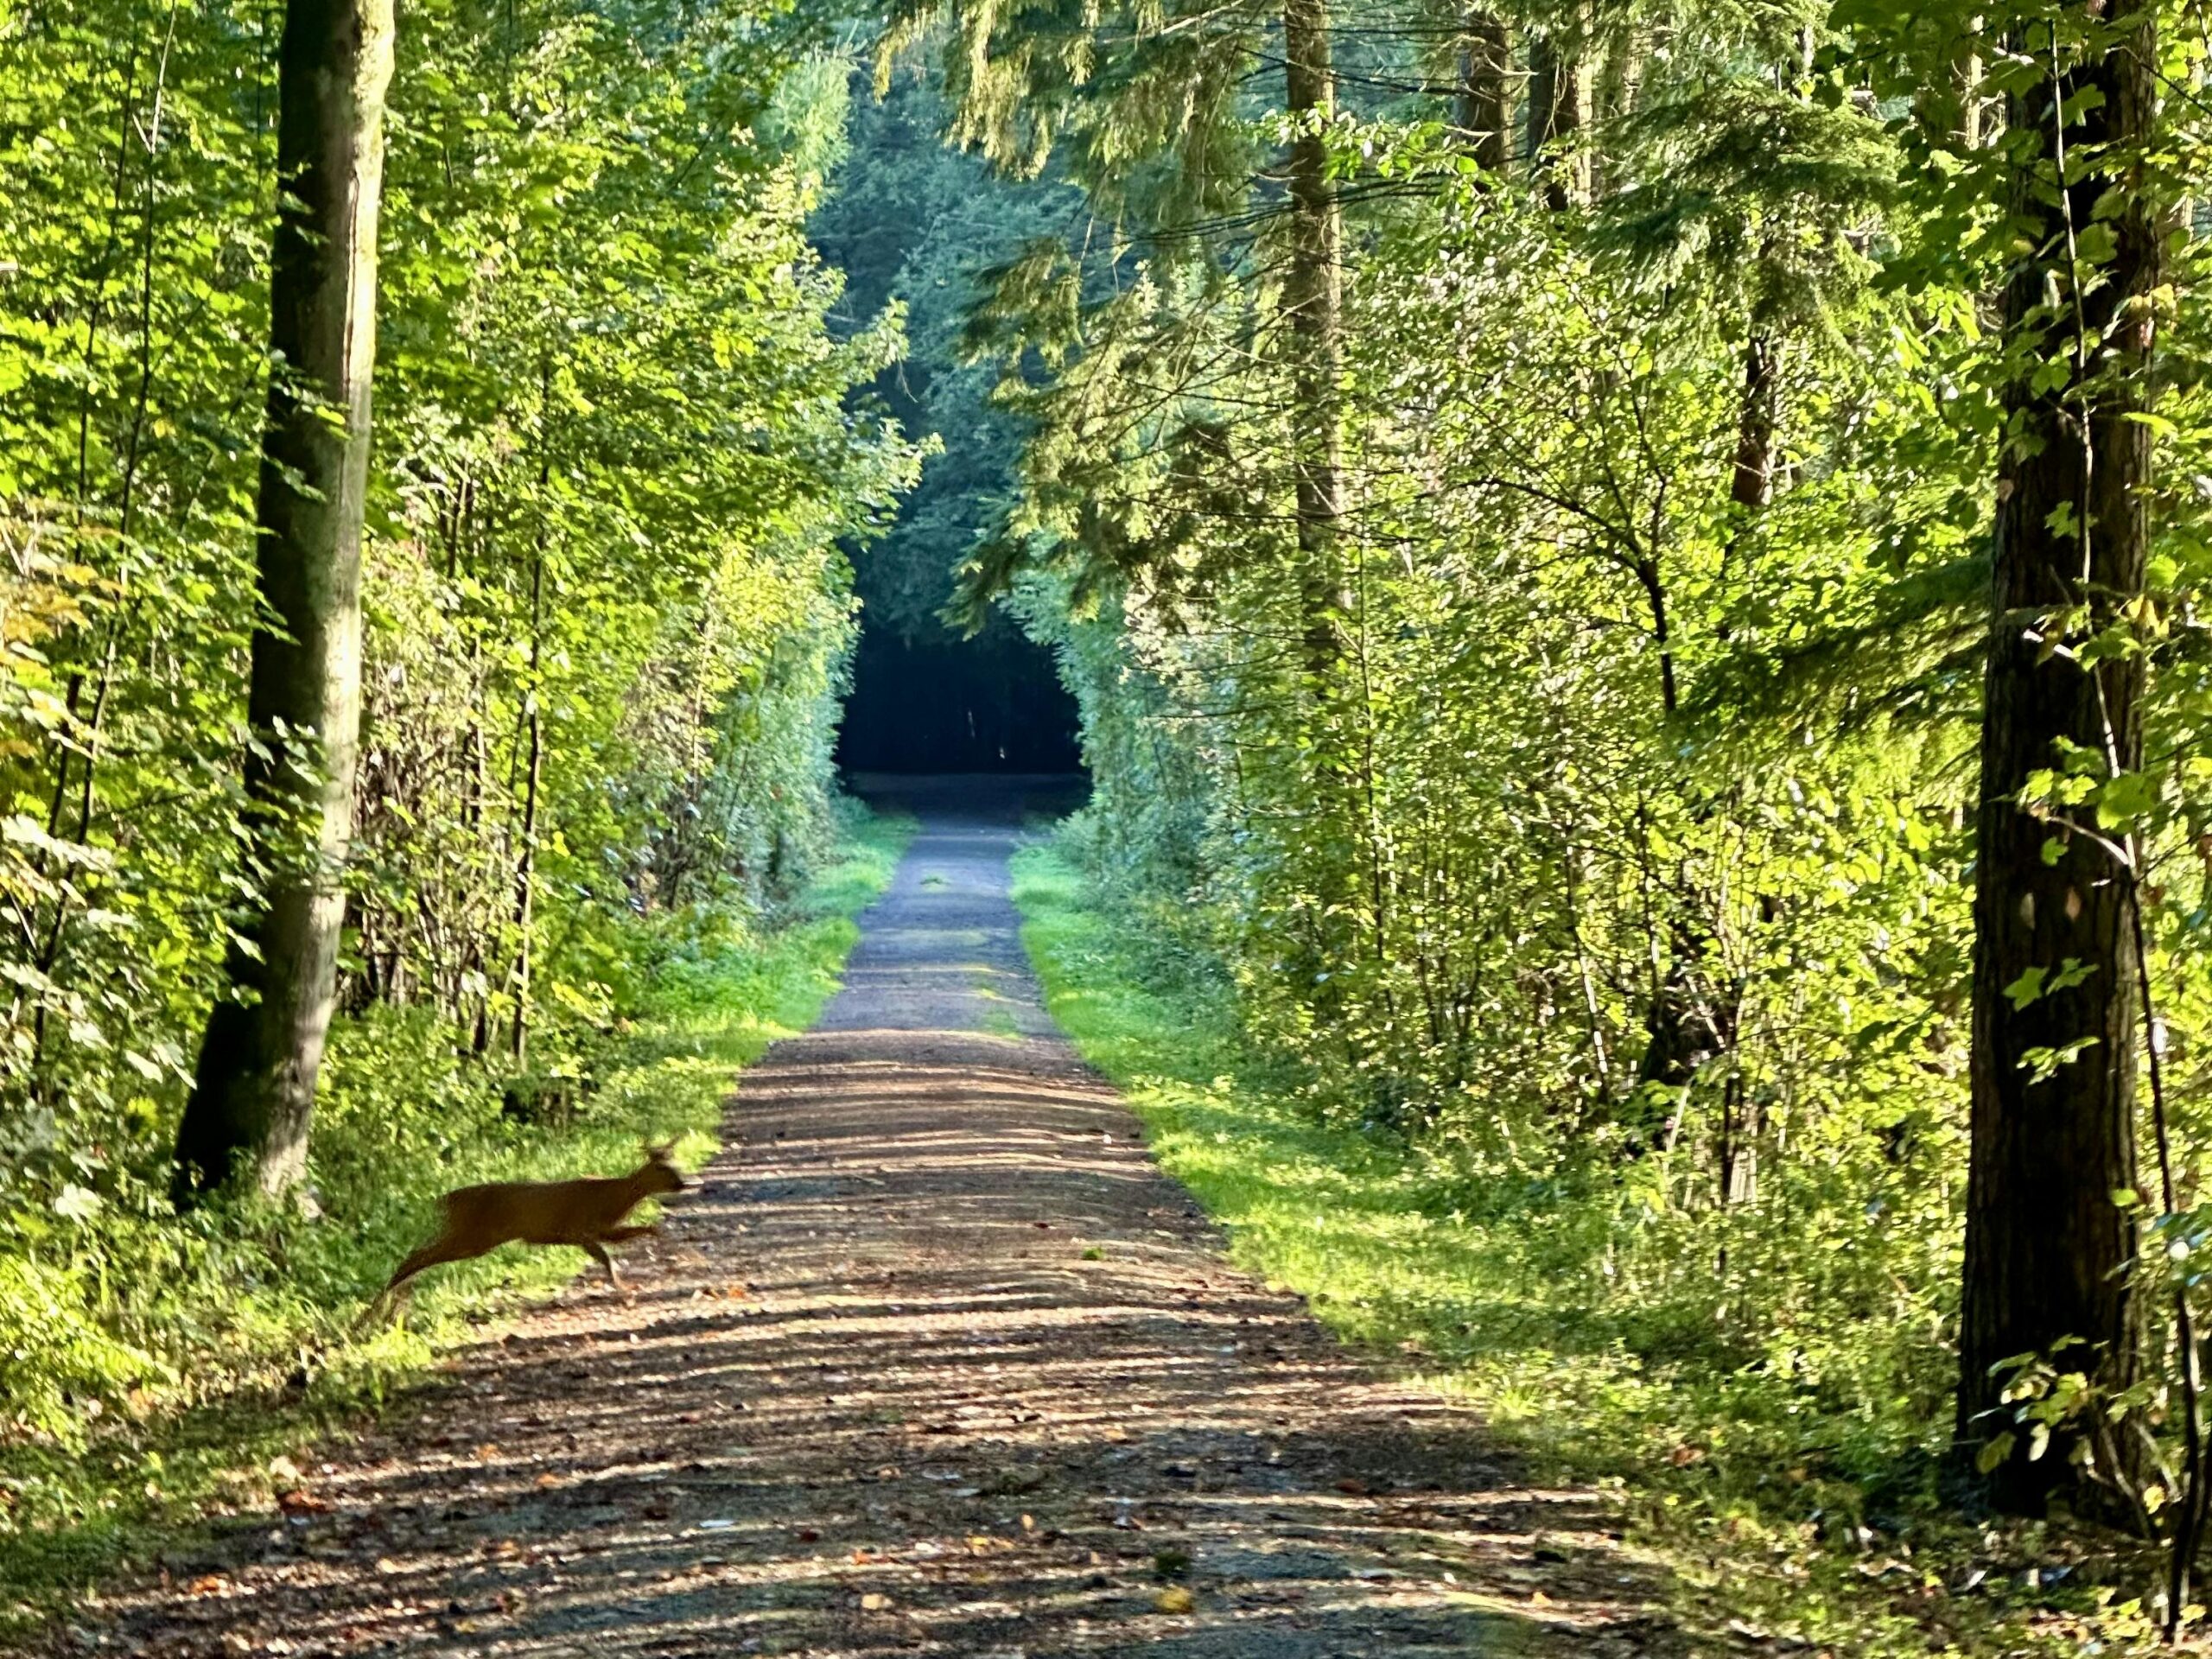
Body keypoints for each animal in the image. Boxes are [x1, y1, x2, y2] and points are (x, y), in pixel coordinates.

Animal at [364, 1141, 688, 1324]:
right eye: (662, 1167)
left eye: (676, 1163)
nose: (682, 1183)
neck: (613, 1200)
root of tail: (445, 1200)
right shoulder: (579, 1229)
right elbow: (608, 1261)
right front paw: (626, 1293)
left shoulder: (598, 1231)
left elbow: (641, 1234)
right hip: (473, 1234)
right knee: (416, 1256)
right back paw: (376, 1313)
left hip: (468, 1235)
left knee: (415, 1256)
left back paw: (385, 1311)